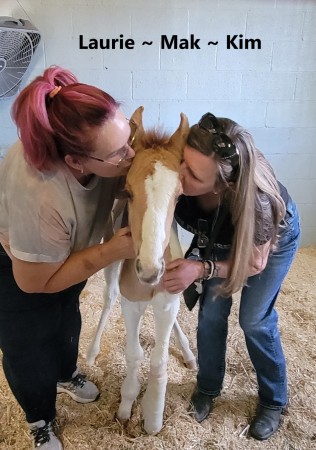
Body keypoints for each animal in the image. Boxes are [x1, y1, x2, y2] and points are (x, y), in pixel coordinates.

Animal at [86, 107, 195, 434]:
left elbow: (159, 360)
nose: (149, 271)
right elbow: (135, 354)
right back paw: (92, 352)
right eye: (128, 192)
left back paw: (188, 352)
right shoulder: (131, 302)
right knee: (108, 297)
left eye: (179, 196)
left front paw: (153, 415)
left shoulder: (168, 299)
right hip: (110, 262)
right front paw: (126, 405)